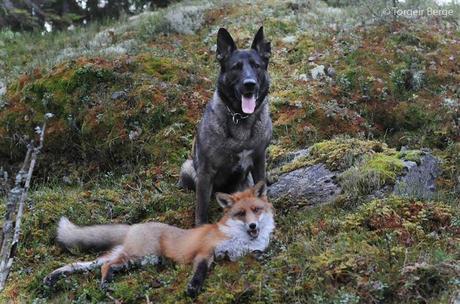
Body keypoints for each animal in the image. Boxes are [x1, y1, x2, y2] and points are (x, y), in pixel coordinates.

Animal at [44, 182, 274, 298]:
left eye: (256, 210)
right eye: (241, 214)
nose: (253, 226)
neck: (239, 239)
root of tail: (134, 225)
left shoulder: (242, 253)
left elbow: (256, 254)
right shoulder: (205, 251)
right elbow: (199, 272)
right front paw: (193, 288)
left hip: (139, 259)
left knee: (87, 264)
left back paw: (54, 278)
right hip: (139, 255)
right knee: (104, 265)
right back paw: (105, 285)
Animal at [181, 26, 274, 226]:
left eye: (256, 66)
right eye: (235, 67)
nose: (249, 84)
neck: (240, 117)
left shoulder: (259, 159)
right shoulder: (206, 173)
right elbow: (201, 209)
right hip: (187, 168)